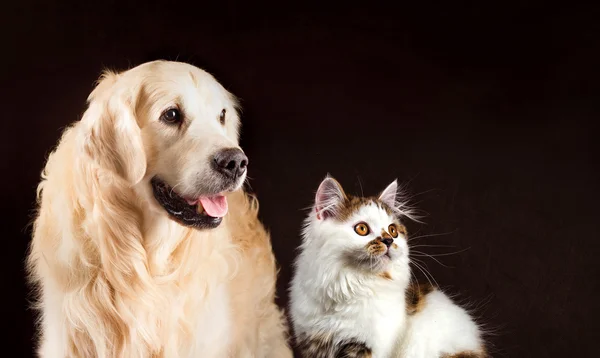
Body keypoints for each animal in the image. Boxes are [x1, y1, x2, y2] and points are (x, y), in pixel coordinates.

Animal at [288, 177, 490, 358]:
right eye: (362, 229)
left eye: (393, 230)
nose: (388, 240)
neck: (349, 284)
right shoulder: (313, 341)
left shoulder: (367, 345)